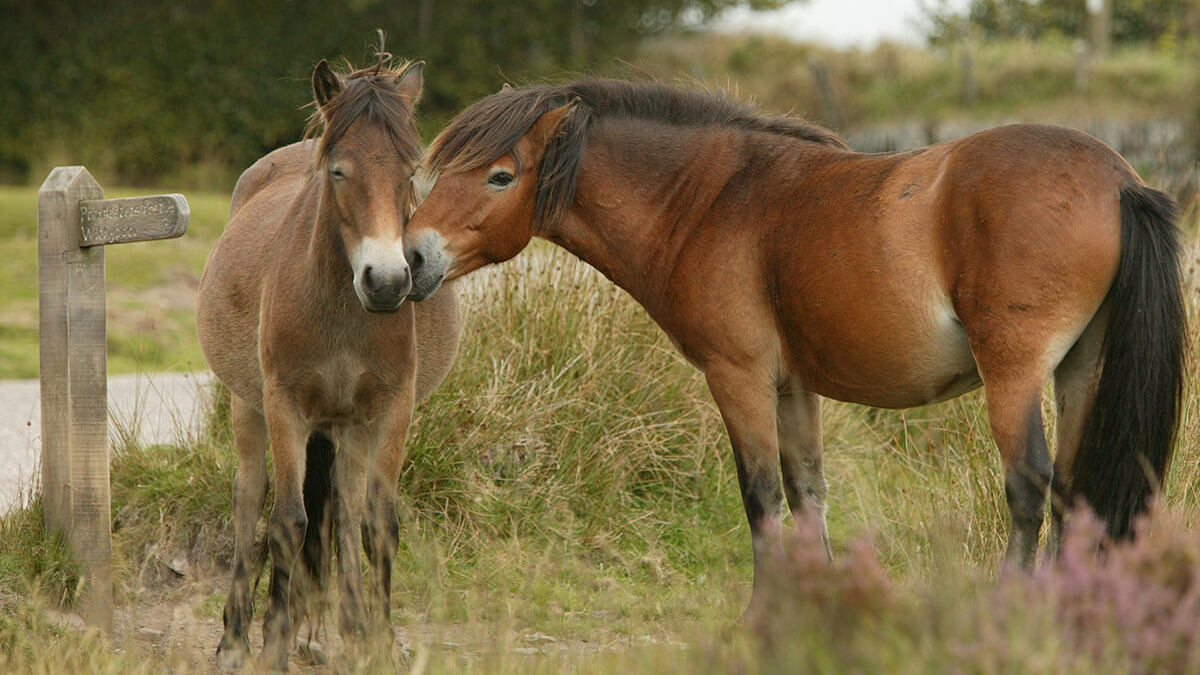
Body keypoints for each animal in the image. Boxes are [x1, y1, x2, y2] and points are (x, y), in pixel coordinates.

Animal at [196, 57, 461, 670]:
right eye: (339, 172)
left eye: (411, 173)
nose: (387, 282)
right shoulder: (284, 407)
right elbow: (287, 523)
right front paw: (273, 644)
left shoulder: (391, 411)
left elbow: (376, 525)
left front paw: (381, 643)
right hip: (248, 408)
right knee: (250, 502)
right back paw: (235, 638)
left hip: (349, 428)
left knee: (342, 512)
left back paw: (347, 627)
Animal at [402, 78, 1186, 615]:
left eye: (501, 175)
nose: (410, 256)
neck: (712, 200)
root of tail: (1119, 181)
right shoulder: (793, 386)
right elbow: (808, 492)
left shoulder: (739, 377)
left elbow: (761, 494)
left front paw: (765, 613)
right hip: (1079, 371)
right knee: (1074, 492)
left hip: (1015, 374)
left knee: (1028, 485)